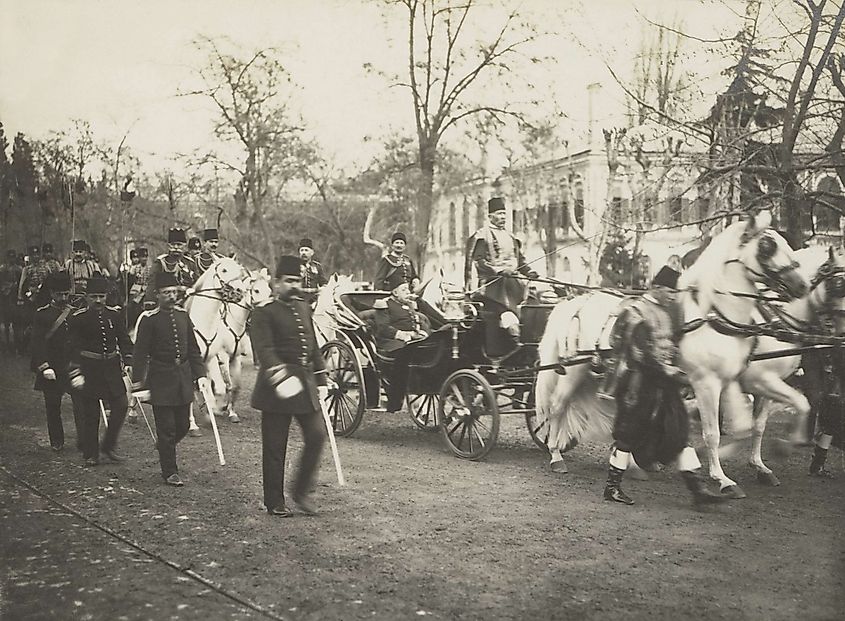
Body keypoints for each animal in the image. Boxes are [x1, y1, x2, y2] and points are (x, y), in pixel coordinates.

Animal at [187, 256, 268, 426]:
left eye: (269, 290)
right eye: (256, 290)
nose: (238, 291)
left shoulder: (235, 357)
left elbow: (235, 386)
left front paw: (231, 412)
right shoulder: (222, 357)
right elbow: (227, 385)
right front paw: (220, 408)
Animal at [536, 211, 808, 496]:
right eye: (767, 246)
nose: (802, 285)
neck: (714, 317)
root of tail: (577, 301)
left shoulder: (733, 382)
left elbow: (755, 425)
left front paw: (770, 455)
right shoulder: (709, 384)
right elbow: (713, 433)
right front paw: (722, 478)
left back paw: (633, 465)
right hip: (575, 371)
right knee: (557, 406)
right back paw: (556, 454)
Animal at [740, 243, 844, 484]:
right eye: (838, 285)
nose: (841, 336)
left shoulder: (766, 386)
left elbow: (759, 425)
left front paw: (760, 467)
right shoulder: (761, 381)